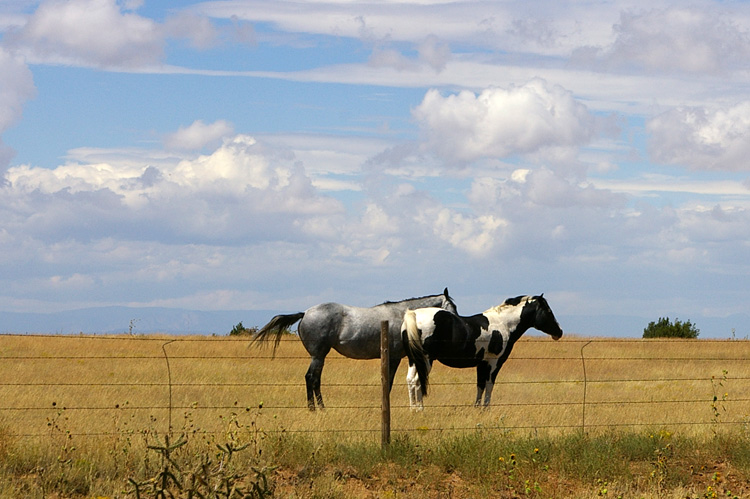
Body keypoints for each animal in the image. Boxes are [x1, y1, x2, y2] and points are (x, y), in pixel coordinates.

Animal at [254, 290, 458, 410]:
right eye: (452, 307)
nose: (459, 323)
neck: (402, 317)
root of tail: (304, 313)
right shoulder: (393, 358)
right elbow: (389, 382)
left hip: (319, 357)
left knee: (314, 379)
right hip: (318, 356)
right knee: (311, 378)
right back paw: (316, 408)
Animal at [402, 296, 560, 410]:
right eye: (548, 311)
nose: (559, 332)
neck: (504, 324)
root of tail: (414, 314)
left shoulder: (482, 363)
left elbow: (480, 385)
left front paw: (477, 408)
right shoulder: (494, 362)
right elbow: (489, 384)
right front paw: (486, 409)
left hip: (413, 360)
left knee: (410, 380)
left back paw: (413, 409)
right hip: (425, 360)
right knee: (417, 381)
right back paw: (420, 409)